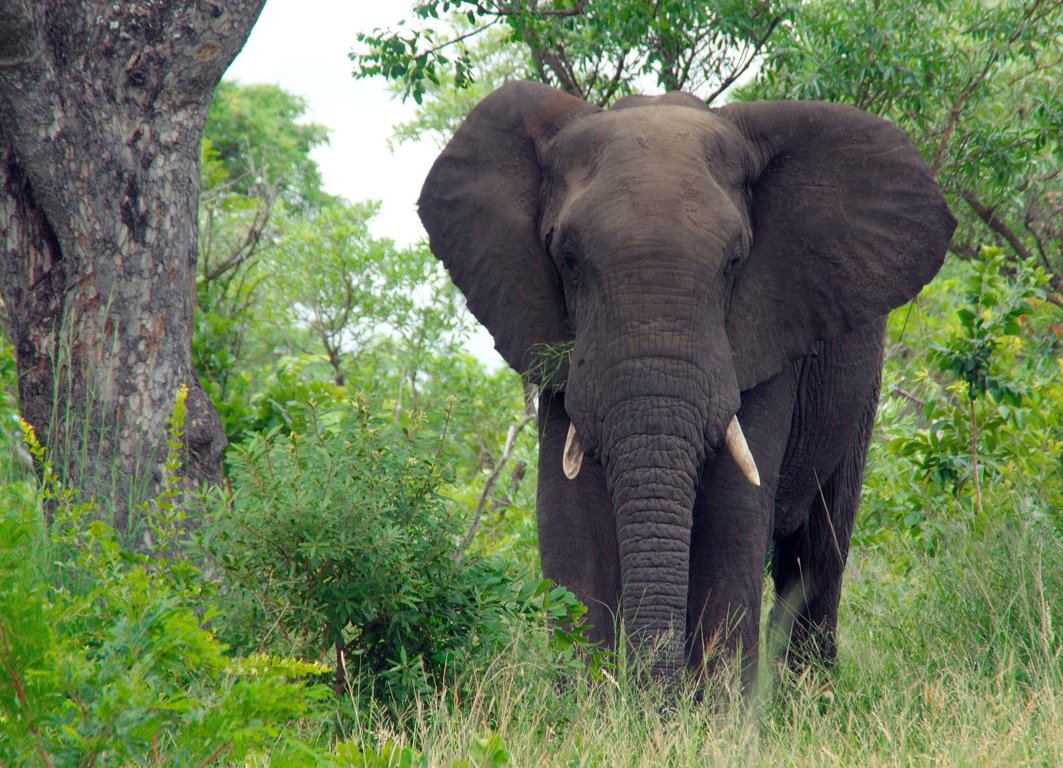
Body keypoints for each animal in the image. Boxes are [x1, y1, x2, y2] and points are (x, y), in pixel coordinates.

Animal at [418, 81, 956, 683]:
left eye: (735, 260)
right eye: (568, 259)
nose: (650, 690)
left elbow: (731, 515)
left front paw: (717, 709)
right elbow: (570, 519)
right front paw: (590, 704)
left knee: (817, 550)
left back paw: (808, 695)